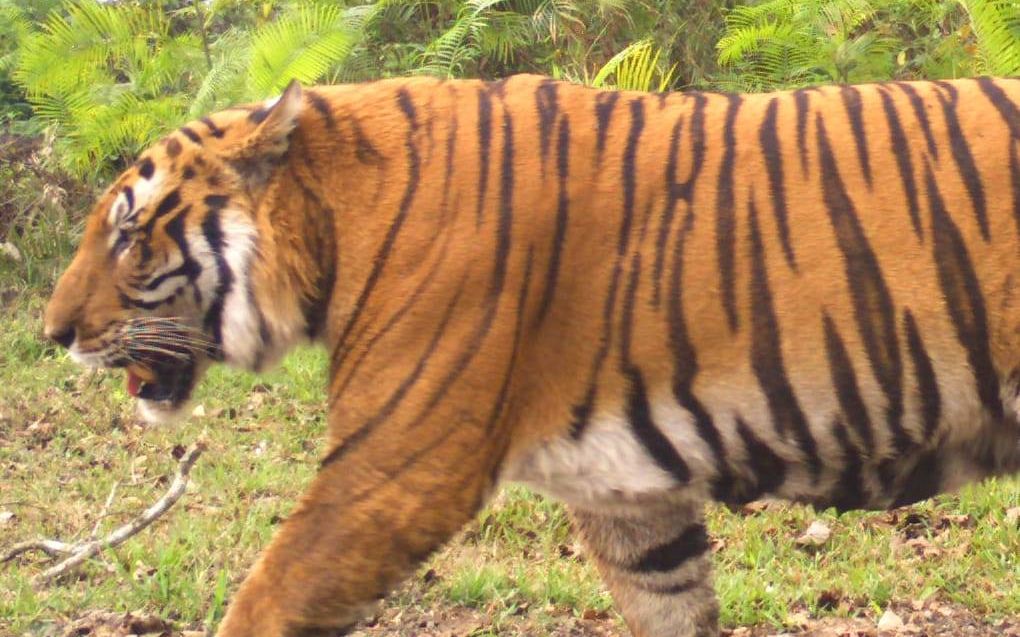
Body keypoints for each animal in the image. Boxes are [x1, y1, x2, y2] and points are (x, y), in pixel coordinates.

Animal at [44, 73, 1020, 636]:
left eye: (129, 234)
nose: (52, 333)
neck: (335, 220)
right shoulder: (632, 500)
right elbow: (672, 604)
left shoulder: (393, 470)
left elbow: (268, 596)